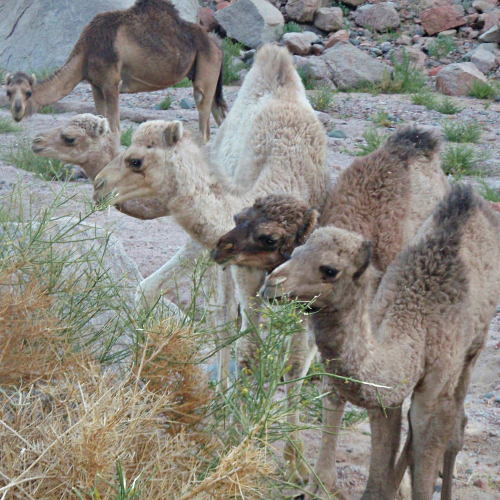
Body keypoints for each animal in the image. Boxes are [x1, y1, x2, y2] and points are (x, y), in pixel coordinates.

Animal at [3, 0, 227, 142]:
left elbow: (115, 131)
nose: (17, 110)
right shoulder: (95, 85)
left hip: (207, 64)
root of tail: (215, 44)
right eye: (8, 92)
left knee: (203, 118)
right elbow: (101, 127)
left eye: (28, 92)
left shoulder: (111, 83)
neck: (85, 53)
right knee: (219, 115)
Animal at [262, 185, 500, 500]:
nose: (271, 284)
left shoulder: (436, 390)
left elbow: (429, 456)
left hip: (474, 346)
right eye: (295, 252)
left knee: (456, 425)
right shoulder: (385, 395)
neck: (417, 324)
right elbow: (377, 480)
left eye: (329, 270)